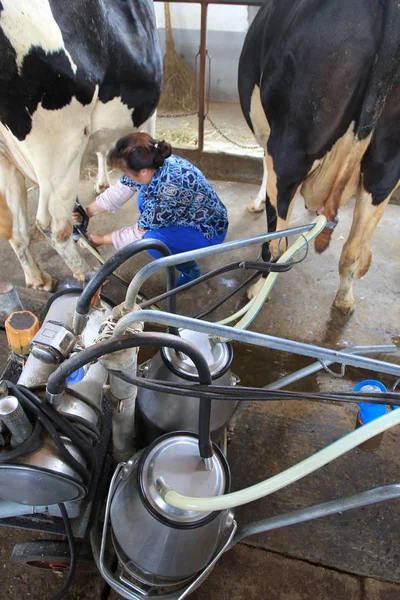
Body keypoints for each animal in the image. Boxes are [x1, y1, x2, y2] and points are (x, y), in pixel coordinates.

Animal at [0, 0, 161, 290]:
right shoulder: (147, 112)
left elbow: (102, 147)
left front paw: (102, 183)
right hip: (60, 143)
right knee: (54, 225)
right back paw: (87, 275)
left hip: (6, 155)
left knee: (16, 230)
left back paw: (39, 278)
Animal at [239, 0, 400, 312]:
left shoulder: (269, 137)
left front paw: (256, 202)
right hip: (385, 166)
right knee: (352, 248)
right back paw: (345, 299)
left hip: (289, 148)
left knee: (279, 244)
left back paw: (257, 291)